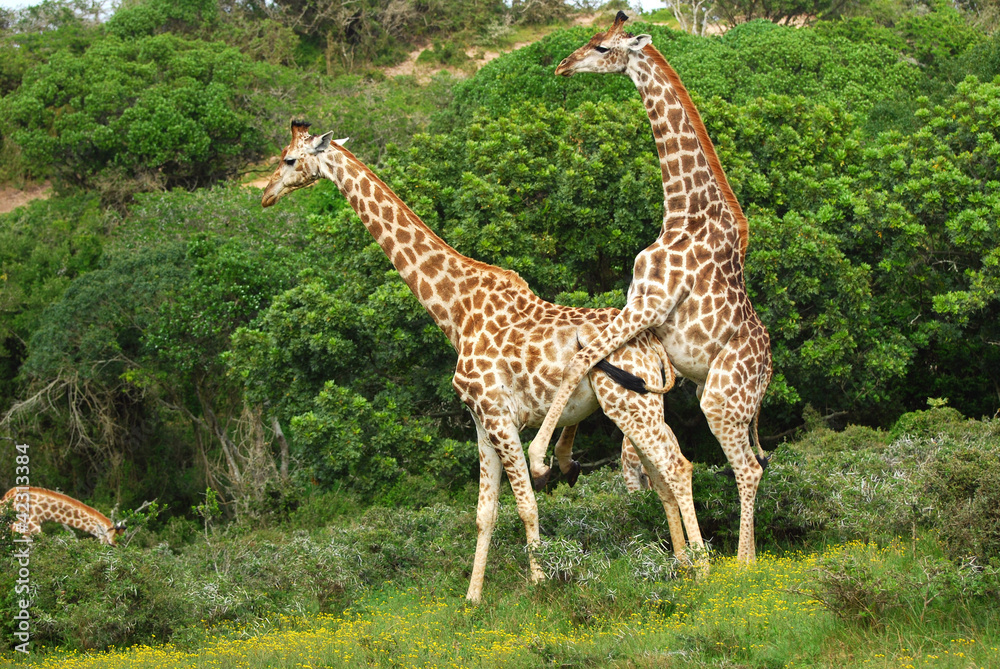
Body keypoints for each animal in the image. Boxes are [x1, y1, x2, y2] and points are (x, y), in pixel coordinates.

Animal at [261, 121, 707, 602]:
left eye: (288, 159)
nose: (265, 195)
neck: (455, 312)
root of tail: (652, 344)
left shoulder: (499, 416)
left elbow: (526, 504)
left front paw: (540, 582)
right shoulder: (479, 422)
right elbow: (484, 512)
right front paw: (473, 599)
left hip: (631, 405)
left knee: (677, 467)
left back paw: (704, 570)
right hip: (639, 406)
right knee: (661, 480)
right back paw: (680, 565)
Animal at [527, 12, 773, 564]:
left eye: (602, 46)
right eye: (590, 38)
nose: (562, 65)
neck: (682, 211)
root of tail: (767, 376)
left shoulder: (650, 304)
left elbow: (581, 357)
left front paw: (540, 458)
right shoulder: (641, 313)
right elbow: (593, 362)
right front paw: (565, 460)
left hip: (723, 399)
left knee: (748, 469)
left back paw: (743, 564)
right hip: (717, 394)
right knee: (750, 465)